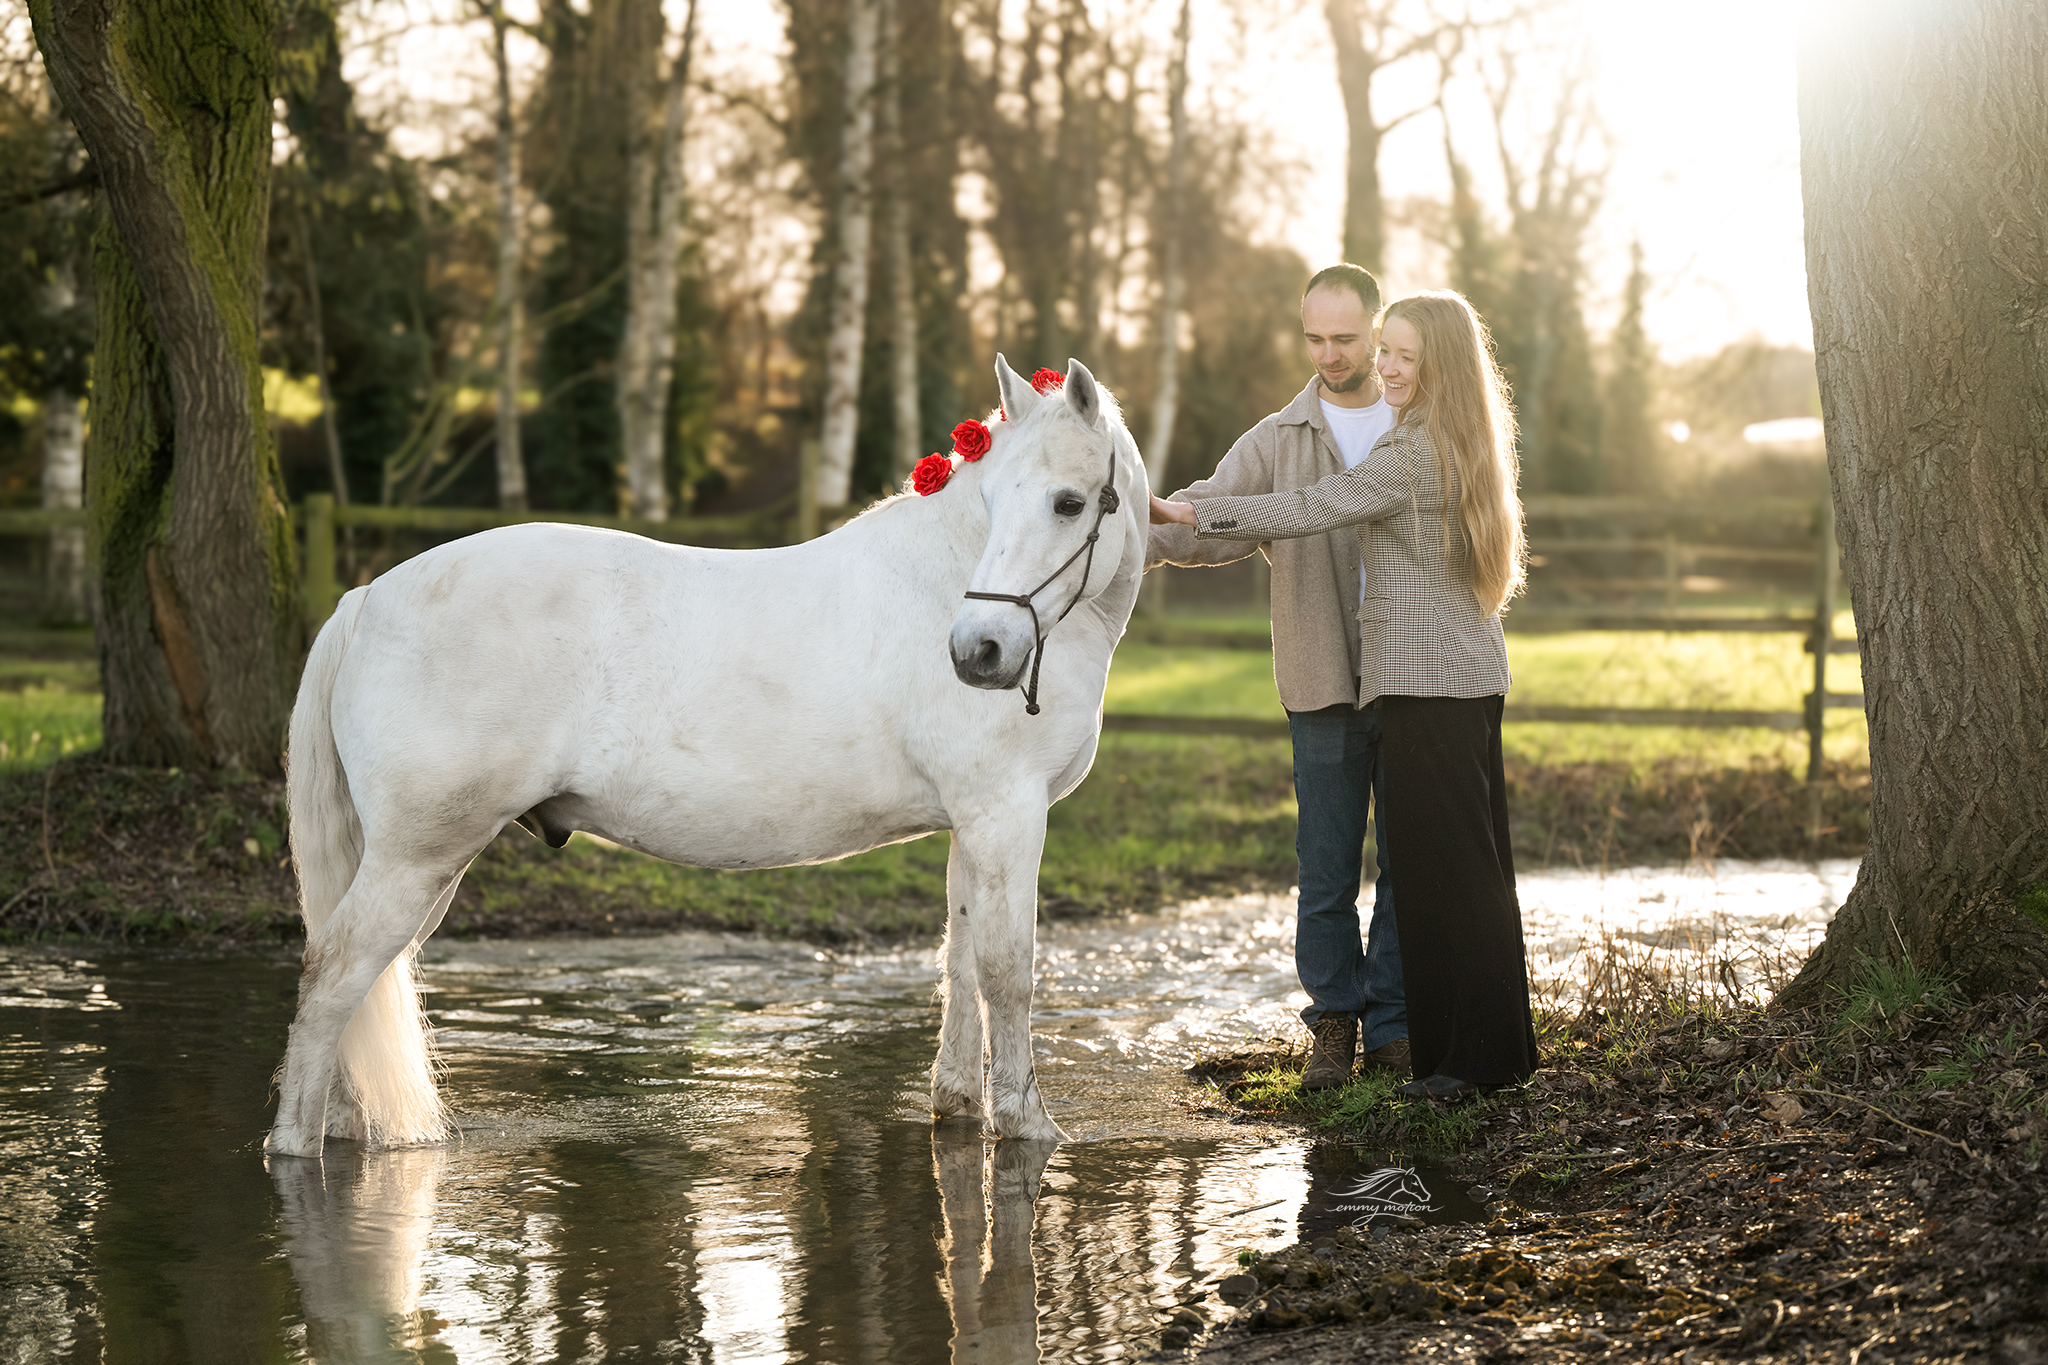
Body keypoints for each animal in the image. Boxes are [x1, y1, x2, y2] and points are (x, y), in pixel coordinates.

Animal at [264, 356, 1148, 1159]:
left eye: (1068, 503)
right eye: (994, 502)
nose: (979, 652)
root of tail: (365, 599)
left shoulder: (973, 822)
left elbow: (960, 963)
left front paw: (961, 1108)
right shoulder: (1006, 814)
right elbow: (1007, 970)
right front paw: (1030, 1125)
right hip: (418, 855)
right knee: (333, 976)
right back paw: (295, 1145)